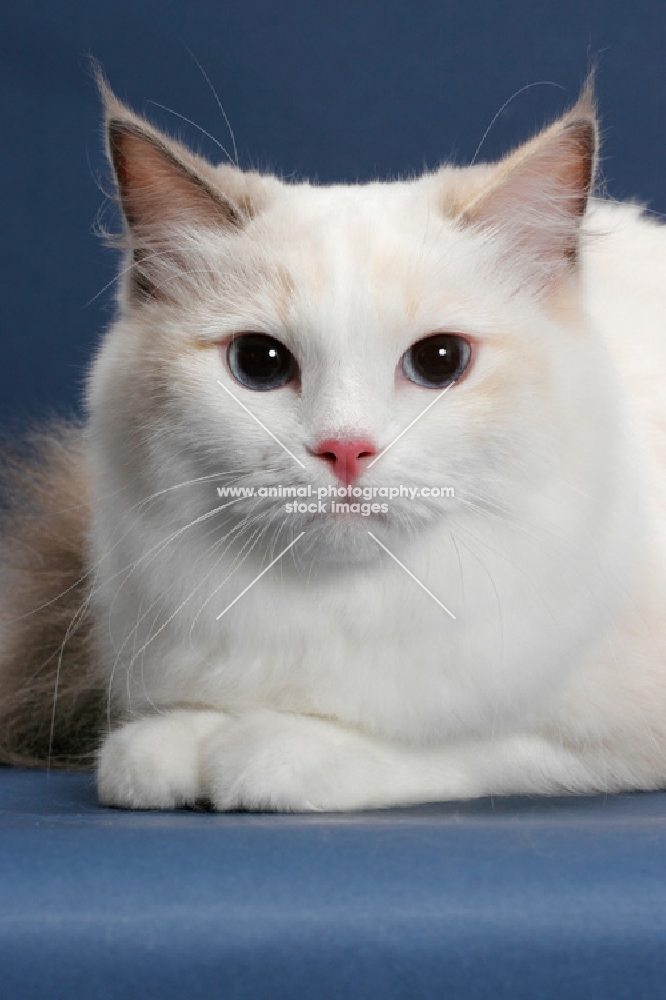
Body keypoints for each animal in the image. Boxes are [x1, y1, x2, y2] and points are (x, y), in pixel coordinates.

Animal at [1, 74, 664, 812]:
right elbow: (162, 733)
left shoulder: (598, 740)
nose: (346, 449)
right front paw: (173, 748)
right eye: (259, 363)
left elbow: (458, 744)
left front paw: (264, 751)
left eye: (439, 360)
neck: (344, 609)